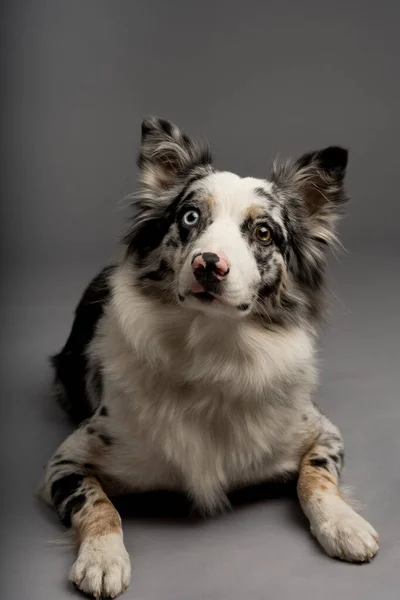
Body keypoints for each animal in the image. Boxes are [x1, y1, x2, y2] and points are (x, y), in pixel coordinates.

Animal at [39, 116, 380, 596]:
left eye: (263, 232)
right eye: (190, 216)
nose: (209, 265)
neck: (214, 351)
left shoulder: (324, 434)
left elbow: (316, 479)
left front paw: (345, 525)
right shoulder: (66, 461)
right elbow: (99, 504)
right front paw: (103, 559)